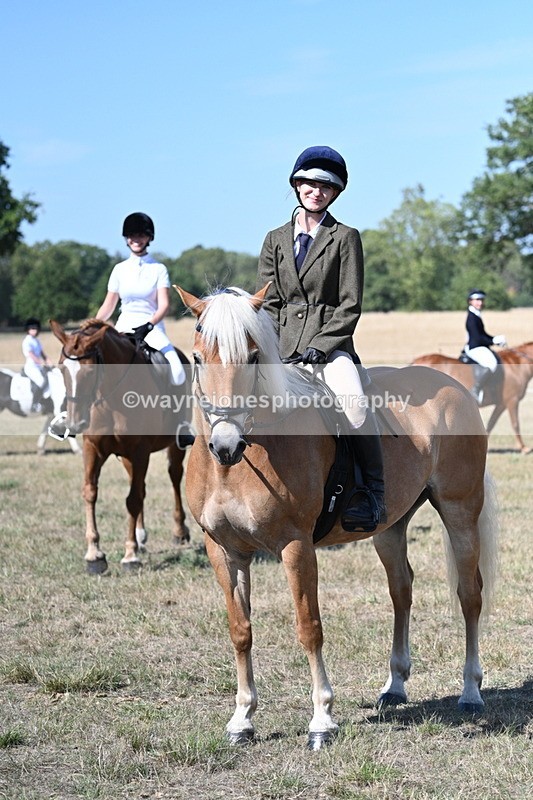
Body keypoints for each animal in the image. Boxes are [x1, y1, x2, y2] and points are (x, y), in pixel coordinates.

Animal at [49, 318, 191, 573]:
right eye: (61, 369)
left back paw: (178, 531)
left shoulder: (140, 451)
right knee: (140, 486)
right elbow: (90, 492)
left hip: (173, 446)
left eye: (90, 371)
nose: (75, 422)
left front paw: (130, 555)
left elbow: (132, 499)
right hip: (126, 457)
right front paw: (94, 554)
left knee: (174, 476)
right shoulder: (93, 448)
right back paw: (141, 536)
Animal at [175, 284, 499, 750]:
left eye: (253, 357)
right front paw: (242, 719)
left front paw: (322, 720)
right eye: (198, 358)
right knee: (402, 590)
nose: (225, 444)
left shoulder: (296, 547)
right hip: (390, 527)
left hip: (460, 511)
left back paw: (471, 691)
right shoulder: (224, 550)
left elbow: (309, 627)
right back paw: (395, 686)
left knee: (469, 594)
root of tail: (455, 386)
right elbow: (240, 630)